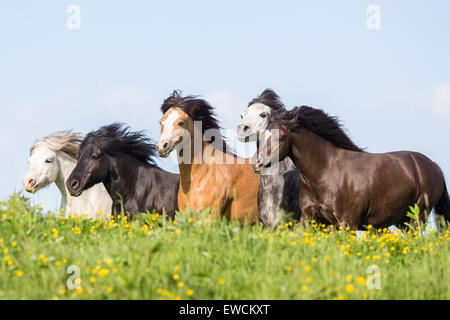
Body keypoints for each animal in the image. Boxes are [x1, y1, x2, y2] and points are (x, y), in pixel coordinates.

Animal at [253, 106, 450, 229]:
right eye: (261, 137)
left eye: (281, 137)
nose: (257, 163)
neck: (326, 173)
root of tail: (434, 166)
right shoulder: (311, 220)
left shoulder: (347, 223)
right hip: (403, 221)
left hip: (417, 217)